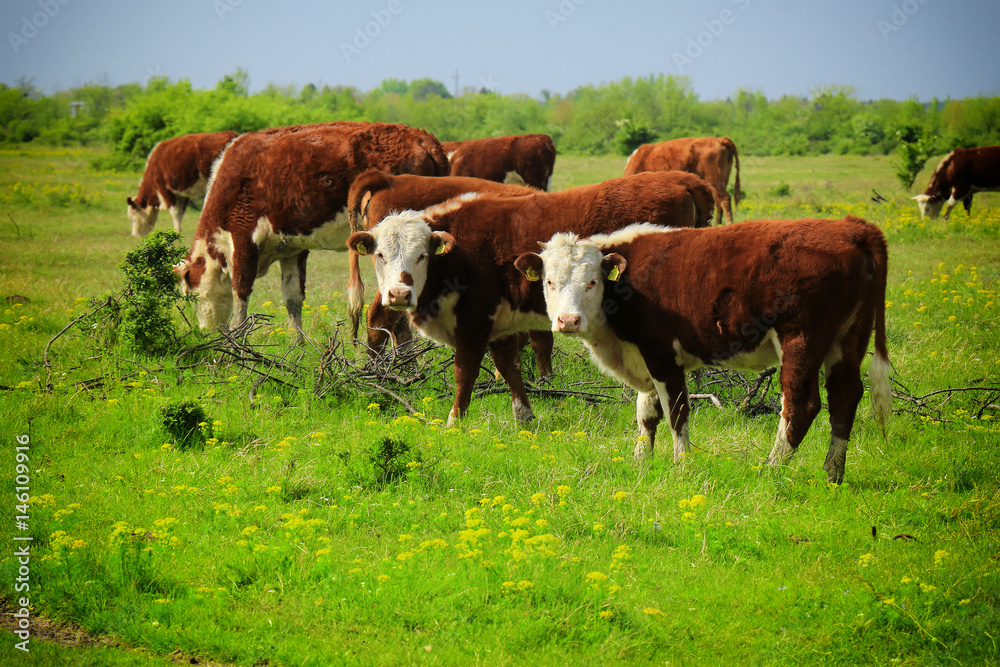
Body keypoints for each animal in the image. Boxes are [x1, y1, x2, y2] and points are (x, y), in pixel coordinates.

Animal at [176, 121, 450, 334]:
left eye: (190, 296)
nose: (205, 332)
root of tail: (424, 139)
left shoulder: (243, 239)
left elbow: (241, 295)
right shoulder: (292, 248)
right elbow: (293, 299)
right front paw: (297, 348)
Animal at [348, 170, 716, 426]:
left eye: (421, 255)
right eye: (380, 254)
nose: (399, 292)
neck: (460, 248)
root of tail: (682, 180)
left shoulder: (474, 320)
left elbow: (465, 371)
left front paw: (454, 423)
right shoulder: (497, 322)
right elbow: (508, 366)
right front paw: (525, 416)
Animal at [516, 219, 892, 486]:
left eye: (592, 282)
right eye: (549, 282)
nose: (568, 320)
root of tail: (854, 228)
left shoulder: (661, 353)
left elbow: (676, 412)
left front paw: (682, 465)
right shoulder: (646, 359)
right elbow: (646, 412)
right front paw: (641, 459)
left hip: (801, 340)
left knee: (802, 404)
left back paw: (770, 469)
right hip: (848, 340)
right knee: (845, 398)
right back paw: (833, 474)